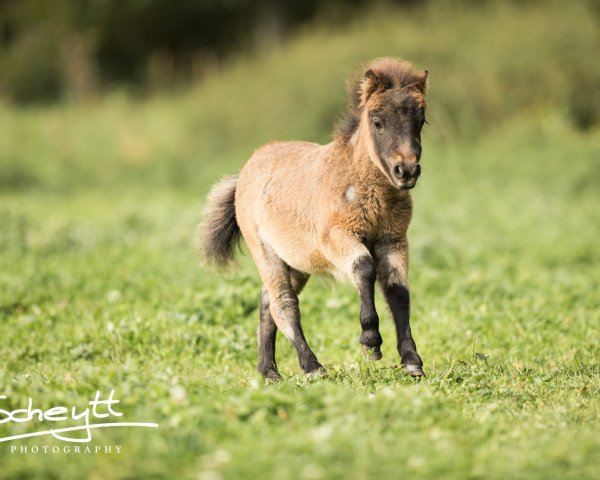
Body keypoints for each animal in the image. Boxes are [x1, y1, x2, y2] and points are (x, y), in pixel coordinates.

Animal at [199, 57, 428, 378]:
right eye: (377, 121)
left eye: (421, 121)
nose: (406, 171)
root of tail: (245, 172)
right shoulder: (334, 237)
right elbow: (364, 268)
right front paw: (371, 341)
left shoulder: (393, 239)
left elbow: (398, 292)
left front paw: (412, 361)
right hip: (265, 251)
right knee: (283, 302)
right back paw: (312, 367)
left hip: (296, 262)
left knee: (267, 301)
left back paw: (269, 372)